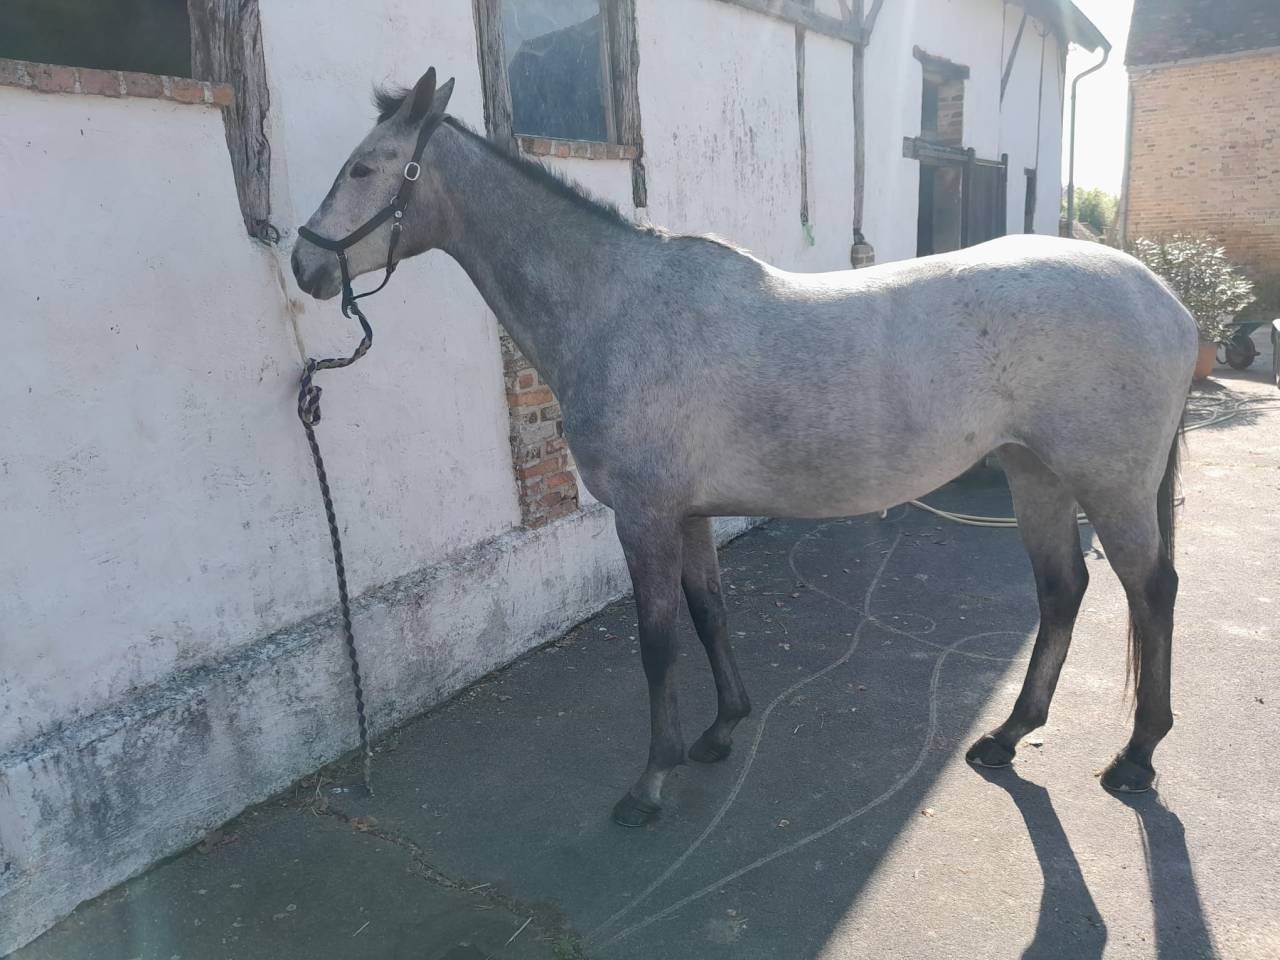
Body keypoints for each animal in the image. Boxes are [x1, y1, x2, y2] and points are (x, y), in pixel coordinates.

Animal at [292, 68, 1197, 827]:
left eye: (366, 169)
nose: (303, 262)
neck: (615, 306)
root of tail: (1165, 300)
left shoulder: (645, 517)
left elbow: (657, 641)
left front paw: (650, 781)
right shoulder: (689, 514)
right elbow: (708, 613)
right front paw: (723, 729)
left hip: (1108, 487)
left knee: (1151, 591)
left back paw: (1136, 756)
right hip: (1035, 474)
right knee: (1063, 589)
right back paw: (1007, 738)